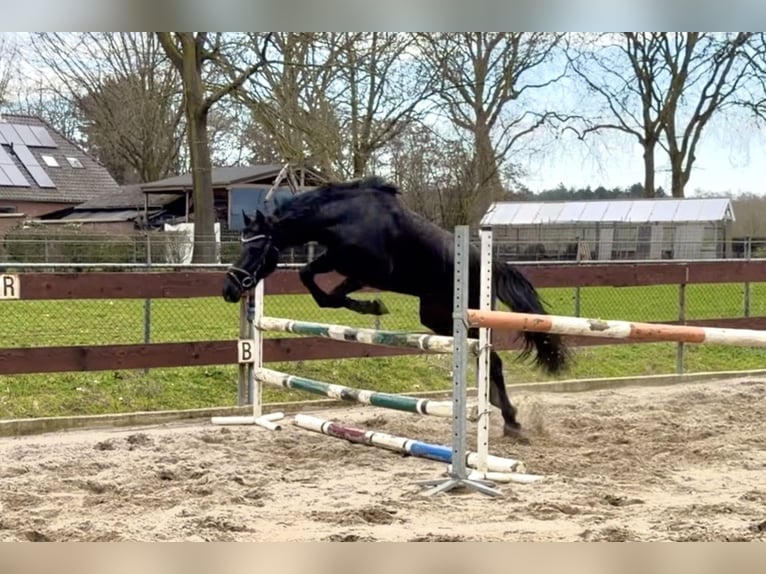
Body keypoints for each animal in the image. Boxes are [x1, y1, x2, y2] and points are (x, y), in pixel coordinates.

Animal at [222, 176, 571, 439]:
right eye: (242, 243)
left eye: (257, 247)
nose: (229, 289)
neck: (344, 216)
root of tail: (490, 264)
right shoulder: (336, 258)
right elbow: (308, 277)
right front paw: (368, 306)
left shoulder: (369, 270)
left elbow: (329, 293)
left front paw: (372, 306)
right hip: (436, 317)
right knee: (486, 360)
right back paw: (500, 410)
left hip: (467, 318)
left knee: (493, 361)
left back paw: (511, 420)